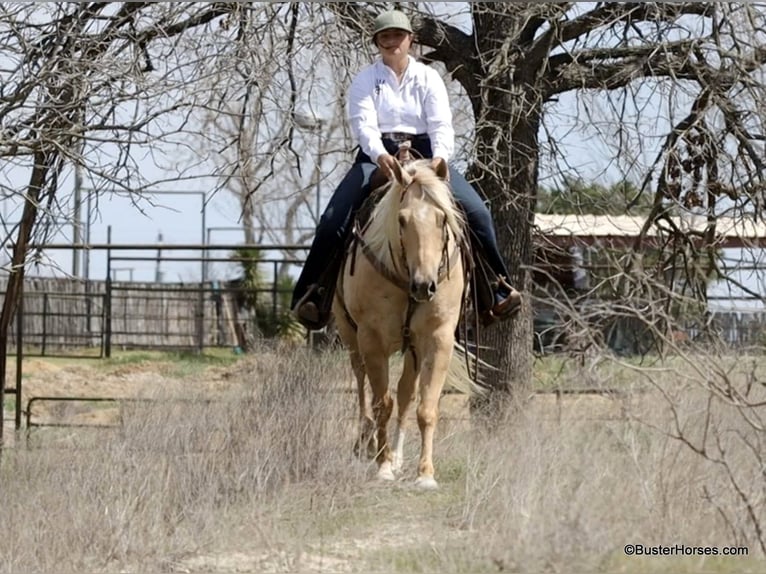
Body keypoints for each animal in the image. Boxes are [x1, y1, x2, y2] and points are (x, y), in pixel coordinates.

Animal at [332, 157, 469, 489]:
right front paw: (382, 467)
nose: (424, 286)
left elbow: (425, 408)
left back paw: (395, 457)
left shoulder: (438, 340)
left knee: (406, 393)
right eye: (402, 220)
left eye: (441, 219)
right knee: (362, 385)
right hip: (350, 336)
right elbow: (383, 404)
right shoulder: (372, 340)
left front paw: (425, 474)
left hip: (413, 349)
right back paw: (366, 445)